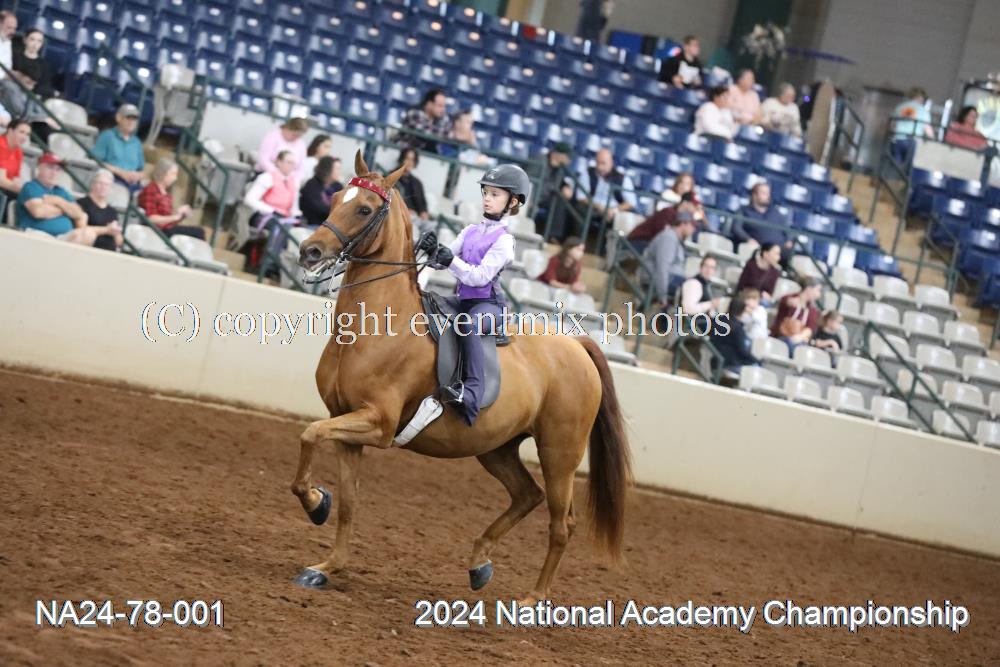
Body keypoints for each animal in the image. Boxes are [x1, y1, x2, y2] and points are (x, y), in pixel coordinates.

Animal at [291, 151, 631, 603]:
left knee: (562, 524)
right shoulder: (346, 426)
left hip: (559, 454)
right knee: (528, 495)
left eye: (363, 208)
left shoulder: (377, 424)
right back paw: (479, 564)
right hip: (497, 448)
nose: (309, 251)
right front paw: (327, 561)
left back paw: (533, 599)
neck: (378, 327)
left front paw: (316, 505)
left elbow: (309, 434)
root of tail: (577, 345)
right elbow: (346, 500)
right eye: (332, 199)